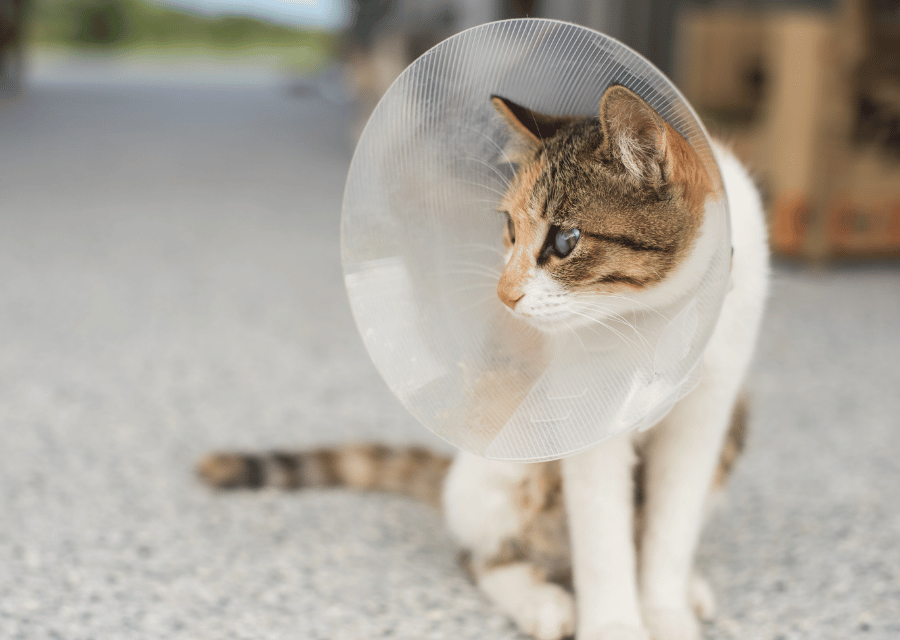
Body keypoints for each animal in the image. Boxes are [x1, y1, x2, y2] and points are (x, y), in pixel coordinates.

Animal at [200, 86, 768, 640]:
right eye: (510, 228)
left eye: (565, 240)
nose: (504, 293)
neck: (656, 320)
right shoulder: (592, 421)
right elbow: (603, 540)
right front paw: (615, 627)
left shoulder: (707, 414)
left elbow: (672, 527)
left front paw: (666, 613)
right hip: (514, 461)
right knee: (484, 557)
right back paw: (543, 604)